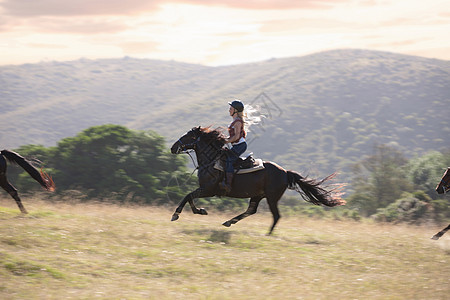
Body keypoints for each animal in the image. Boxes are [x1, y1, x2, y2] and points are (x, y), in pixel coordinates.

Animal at [169, 126, 344, 234]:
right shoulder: (206, 190)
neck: (211, 161)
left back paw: (268, 234)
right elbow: (190, 197)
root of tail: (285, 172)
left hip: (272, 197)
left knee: (276, 216)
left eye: (188, 136)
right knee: (251, 210)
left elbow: (188, 196)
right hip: (258, 195)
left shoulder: (208, 190)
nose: (172, 147)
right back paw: (229, 222)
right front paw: (200, 211)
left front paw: (177, 214)